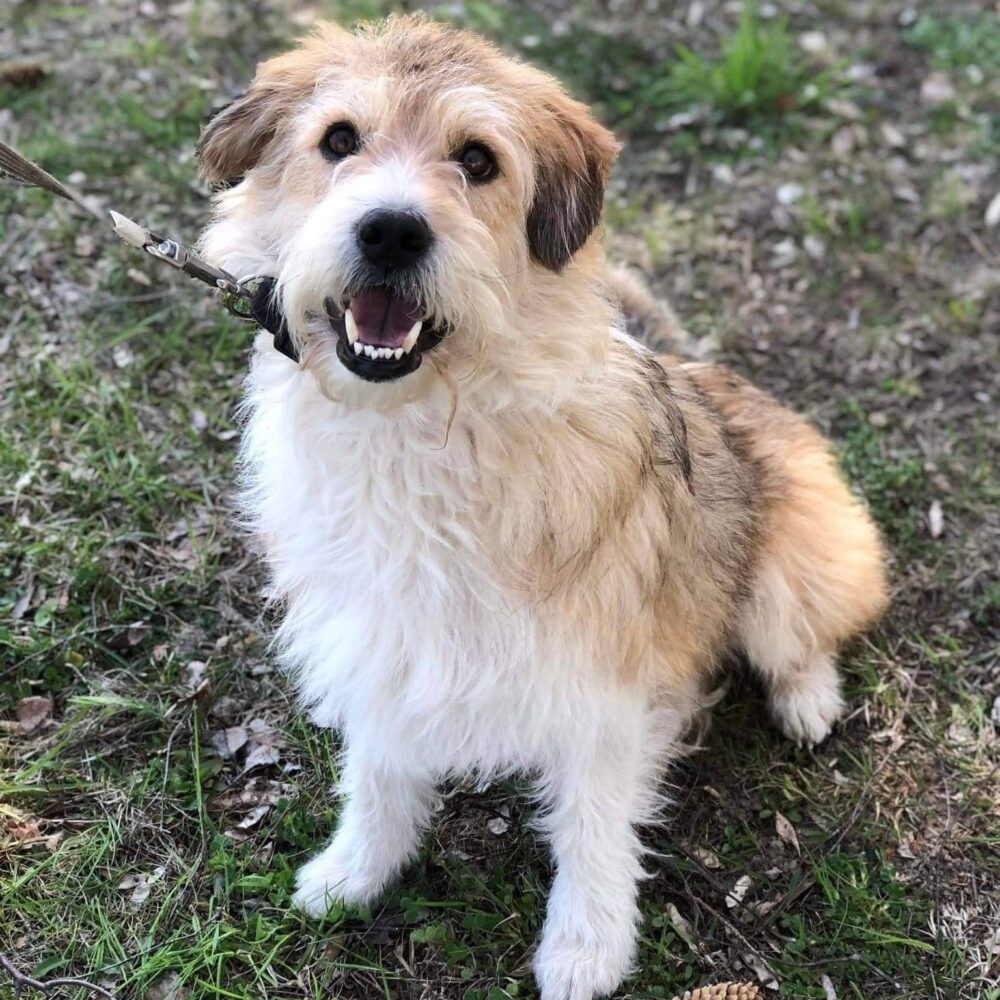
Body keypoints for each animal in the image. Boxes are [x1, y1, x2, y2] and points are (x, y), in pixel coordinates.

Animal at [197, 16, 888, 1000]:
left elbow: (594, 826)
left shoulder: (601, 679)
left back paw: (807, 700)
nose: (391, 231)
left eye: (478, 160)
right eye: (338, 140)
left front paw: (586, 948)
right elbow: (378, 771)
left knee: (798, 635)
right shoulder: (381, 639)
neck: (427, 426)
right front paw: (356, 869)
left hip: (789, 562)